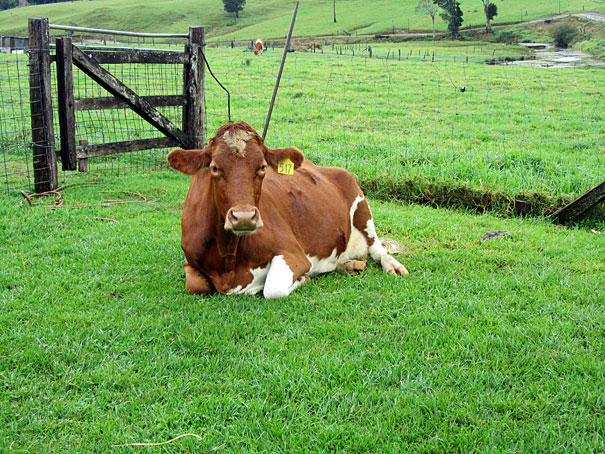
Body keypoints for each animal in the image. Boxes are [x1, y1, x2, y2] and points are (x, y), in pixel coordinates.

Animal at [168, 120, 408, 298]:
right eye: (214, 168)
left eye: (262, 167)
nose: (244, 217)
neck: (228, 258)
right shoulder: (190, 258)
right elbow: (195, 285)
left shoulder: (293, 252)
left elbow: (272, 288)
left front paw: (302, 278)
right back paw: (348, 265)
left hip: (361, 204)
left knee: (377, 249)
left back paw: (392, 266)